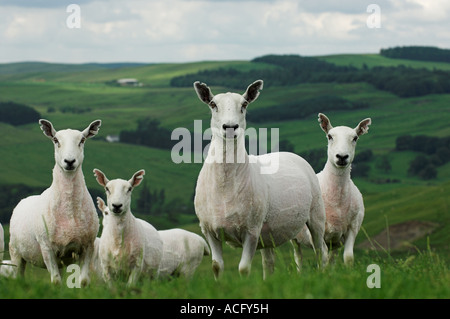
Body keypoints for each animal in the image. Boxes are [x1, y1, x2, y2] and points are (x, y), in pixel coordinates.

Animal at [8, 119, 101, 284]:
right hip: (15, 253)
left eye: (82, 140)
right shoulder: (47, 248)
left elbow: (83, 281)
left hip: (61, 260)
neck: (69, 211)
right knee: (18, 276)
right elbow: (56, 281)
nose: (69, 161)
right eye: (56, 140)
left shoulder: (87, 246)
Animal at [192, 80, 326, 280]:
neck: (225, 186)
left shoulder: (252, 230)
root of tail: (289, 153)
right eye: (213, 104)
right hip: (268, 233)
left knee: (321, 251)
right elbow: (216, 266)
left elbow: (243, 268)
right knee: (269, 262)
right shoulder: (209, 231)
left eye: (244, 105)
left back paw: (327, 274)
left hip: (316, 213)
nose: (230, 127)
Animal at [294, 114, 370, 266]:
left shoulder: (353, 228)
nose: (342, 156)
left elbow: (348, 257)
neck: (337, 200)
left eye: (355, 138)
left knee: (332, 259)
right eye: (329, 136)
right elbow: (321, 257)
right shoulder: (316, 233)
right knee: (298, 257)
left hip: (335, 241)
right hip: (294, 237)